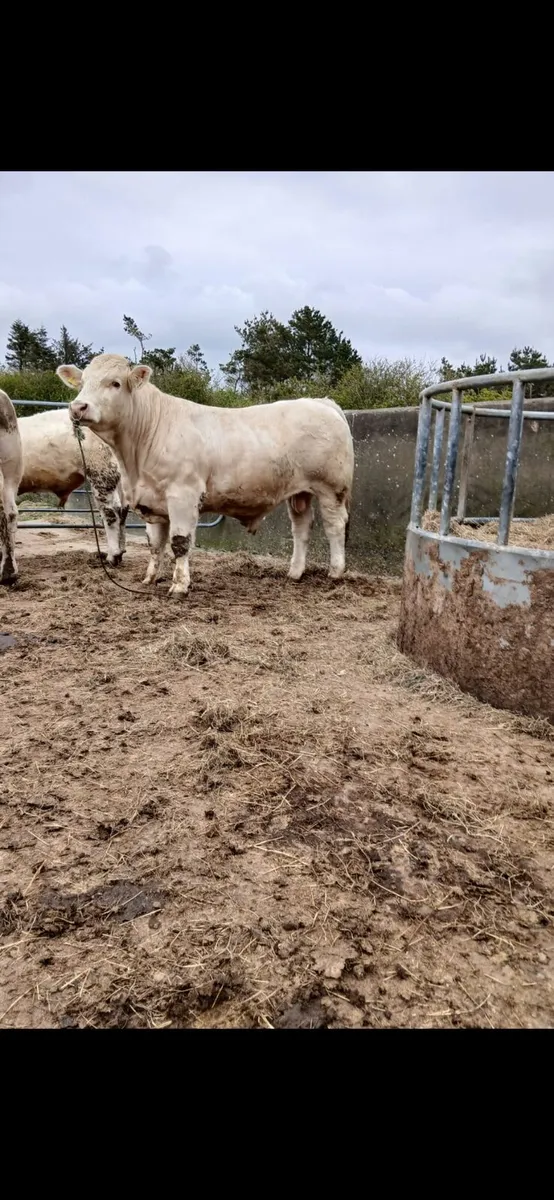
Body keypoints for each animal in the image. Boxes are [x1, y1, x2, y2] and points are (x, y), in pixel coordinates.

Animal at [57, 353, 354, 598]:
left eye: (115, 383)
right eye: (82, 382)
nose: (78, 407)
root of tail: (321, 402)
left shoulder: (183, 495)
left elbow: (179, 543)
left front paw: (179, 586)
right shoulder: (152, 500)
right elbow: (155, 544)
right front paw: (150, 579)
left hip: (331, 487)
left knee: (335, 526)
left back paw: (335, 571)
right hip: (300, 491)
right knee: (302, 527)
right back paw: (294, 573)